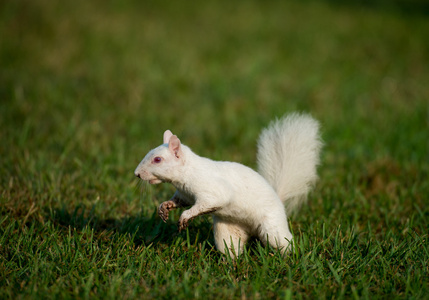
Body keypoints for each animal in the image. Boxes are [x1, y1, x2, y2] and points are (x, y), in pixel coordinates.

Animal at [134, 112, 320, 255]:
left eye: (157, 160)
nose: (137, 174)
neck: (186, 174)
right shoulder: (184, 194)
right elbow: (179, 201)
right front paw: (164, 207)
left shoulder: (212, 189)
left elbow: (212, 201)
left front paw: (185, 217)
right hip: (227, 231)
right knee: (231, 247)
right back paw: (231, 264)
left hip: (272, 227)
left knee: (282, 242)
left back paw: (290, 257)